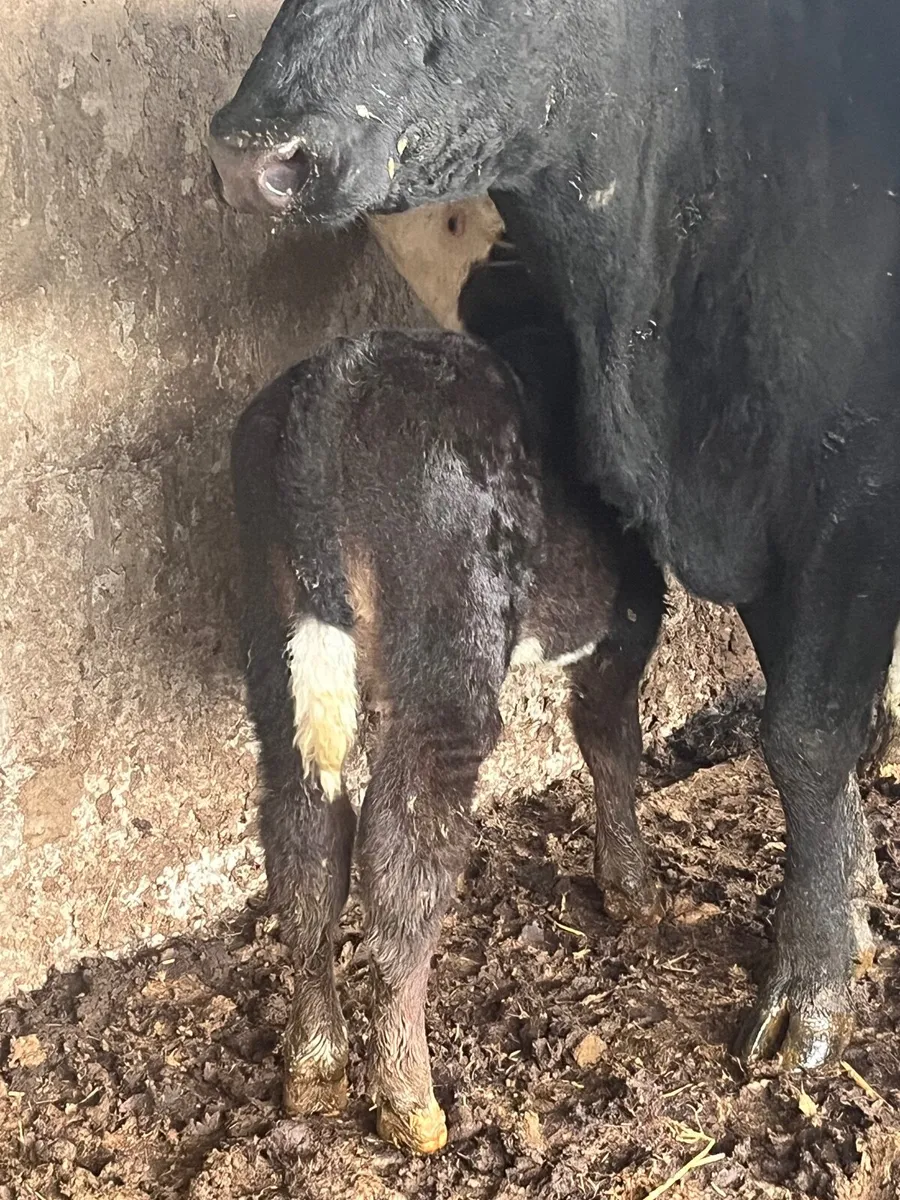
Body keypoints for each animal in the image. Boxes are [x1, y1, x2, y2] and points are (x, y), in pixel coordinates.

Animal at [230, 302, 663, 1152]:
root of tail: (343, 375)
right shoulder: (627, 621)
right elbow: (610, 744)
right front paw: (627, 882)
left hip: (275, 638)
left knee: (305, 841)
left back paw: (315, 1064)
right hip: (447, 658)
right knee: (405, 848)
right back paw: (409, 1098)